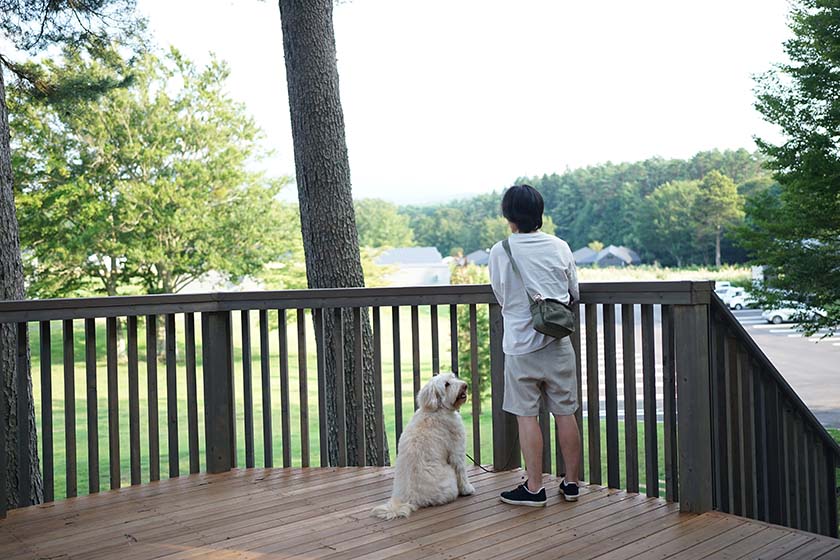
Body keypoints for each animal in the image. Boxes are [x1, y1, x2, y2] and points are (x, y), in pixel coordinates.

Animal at [372, 372, 472, 520]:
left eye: (453, 377)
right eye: (446, 384)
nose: (464, 385)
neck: (437, 409)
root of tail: (408, 499)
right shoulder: (457, 450)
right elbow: (461, 472)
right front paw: (467, 489)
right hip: (449, 478)